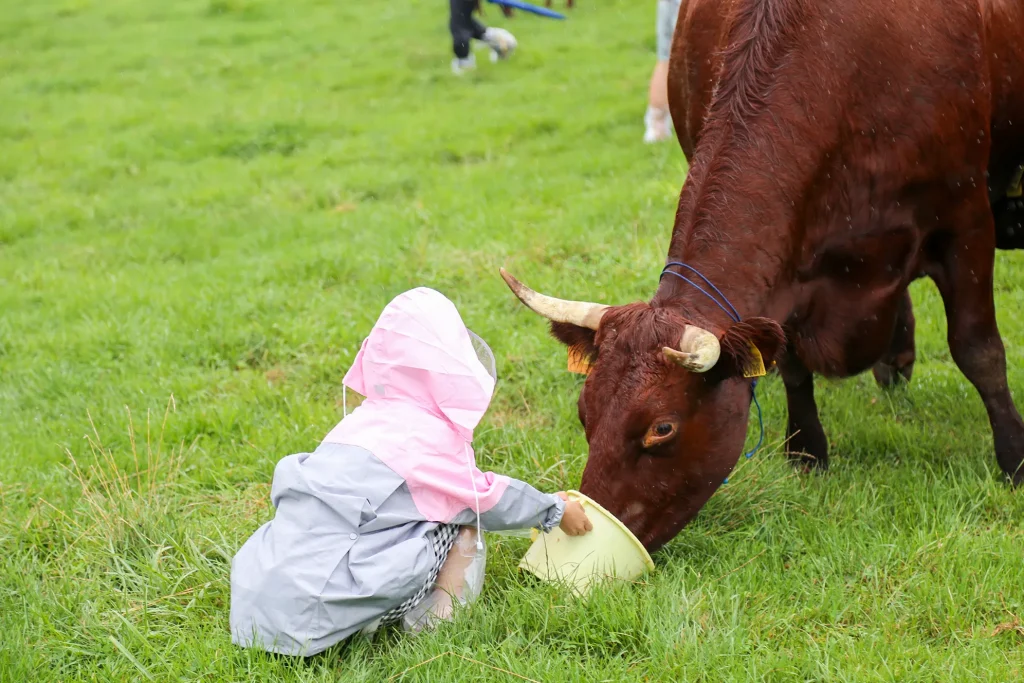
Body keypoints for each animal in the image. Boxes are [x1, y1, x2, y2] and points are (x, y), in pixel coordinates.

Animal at [501, 0, 1024, 548]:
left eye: (662, 429)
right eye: (584, 413)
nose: (585, 523)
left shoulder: (968, 221)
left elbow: (978, 349)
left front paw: (1014, 459)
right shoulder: (787, 280)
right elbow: (789, 363)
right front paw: (807, 452)